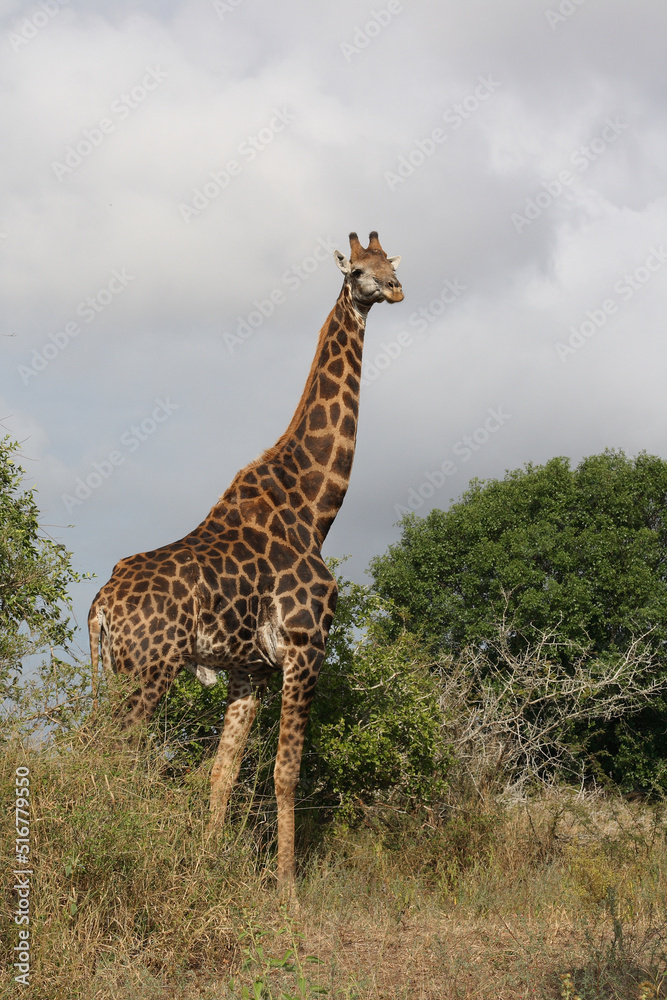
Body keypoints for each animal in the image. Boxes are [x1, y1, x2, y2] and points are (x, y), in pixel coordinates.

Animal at [88, 230, 403, 885]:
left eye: (392, 262)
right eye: (358, 271)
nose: (395, 290)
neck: (314, 509)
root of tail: (100, 606)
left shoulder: (248, 670)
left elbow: (223, 774)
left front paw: (209, 867)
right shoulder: (307, 646)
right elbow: (286, 774)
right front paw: (288, 890)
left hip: (123, 669)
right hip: (152, 670)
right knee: (107, 748)